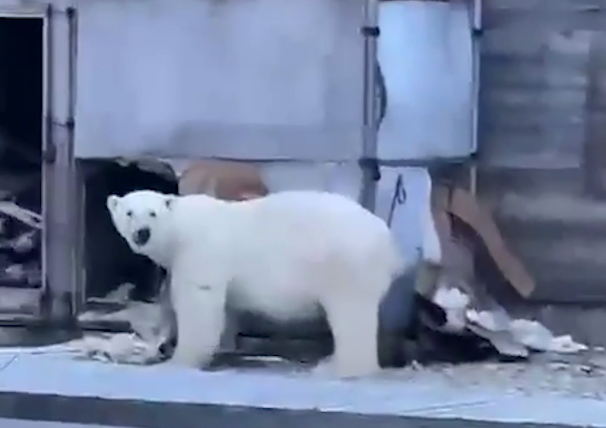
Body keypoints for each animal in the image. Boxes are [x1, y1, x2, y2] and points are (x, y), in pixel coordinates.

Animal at [106, 189, 405, 378]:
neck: (180, 228)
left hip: (345, 264)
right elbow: (225, 311)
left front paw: (179, 360)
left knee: (351, 317)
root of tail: (388, 239)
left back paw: (338, 368)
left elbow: (198, 305)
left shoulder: (199, 254)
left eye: (152, 213)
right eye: (129, 212)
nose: (142, 233)